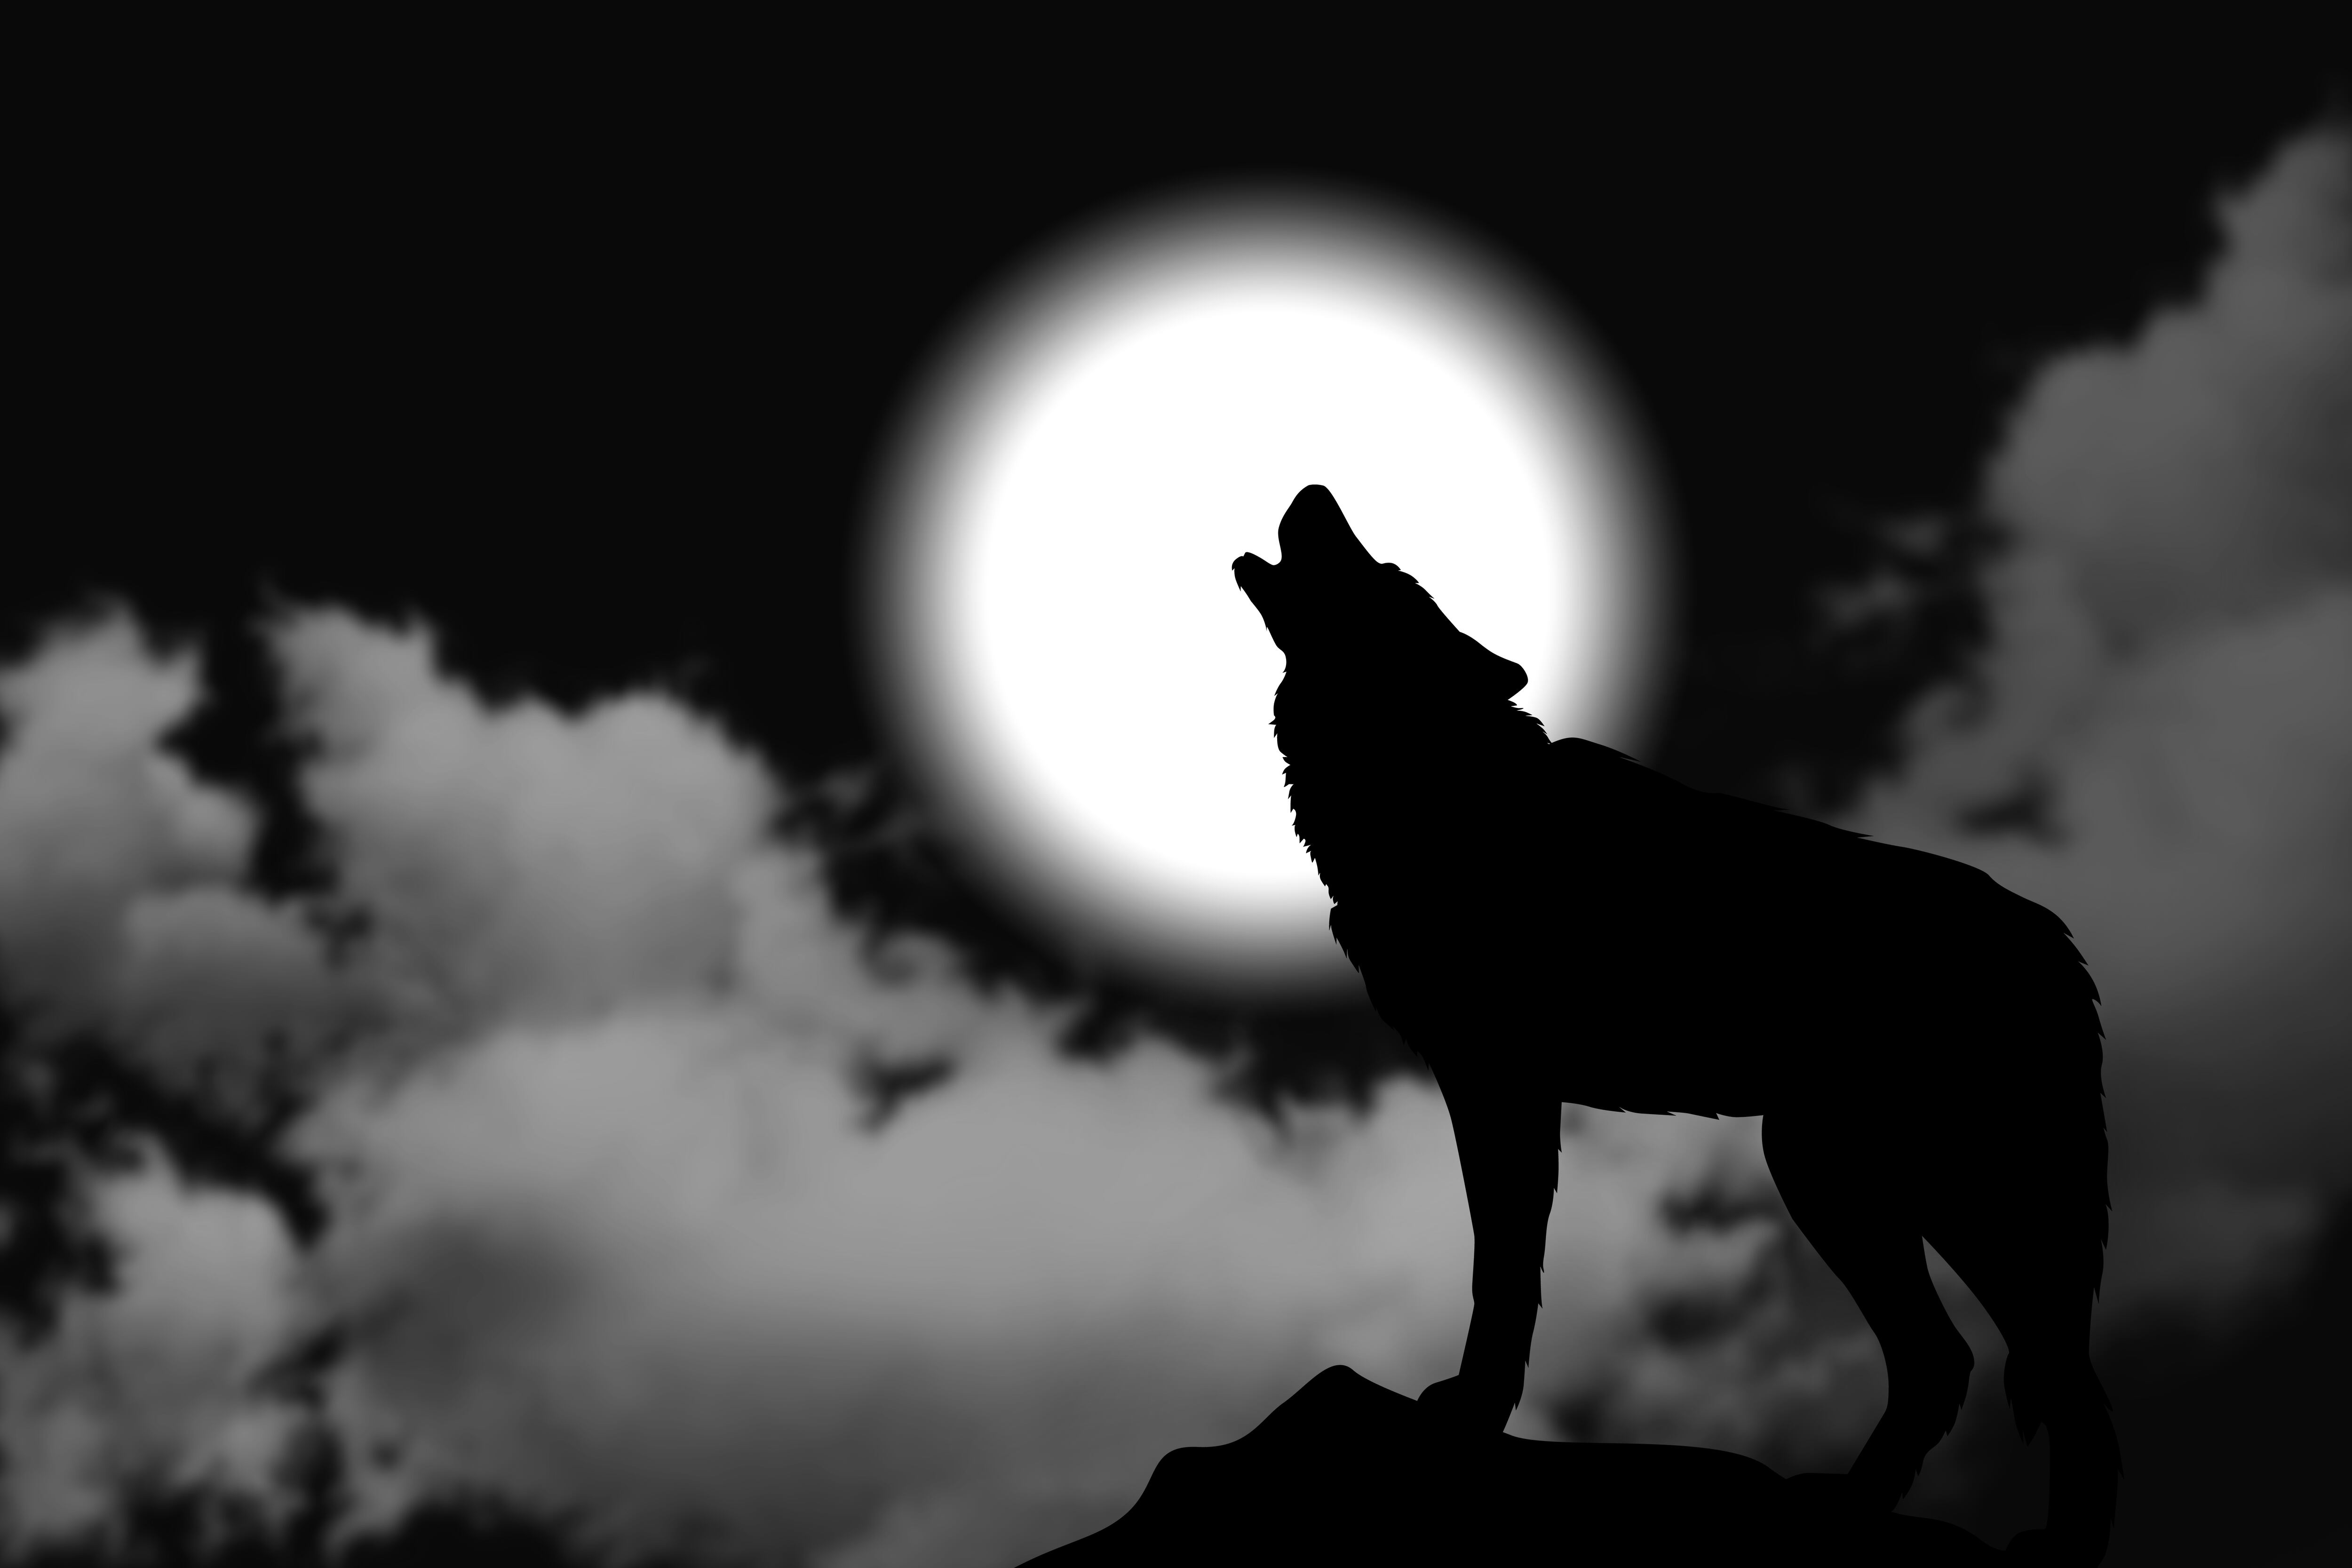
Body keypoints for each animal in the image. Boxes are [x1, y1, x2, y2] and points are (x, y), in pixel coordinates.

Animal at [1234, 485, 2119, 1561]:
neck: (1443, 791)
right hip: (1867, 1177)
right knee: (1961, 1359)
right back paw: (1855, 1504)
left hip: (1897, 1180)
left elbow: (1503, 1273)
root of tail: (2055, 938)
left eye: (1387, 580)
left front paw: (1474, 1410)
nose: (1316, 493)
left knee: (2034, 1368)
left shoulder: (1498, 1085)